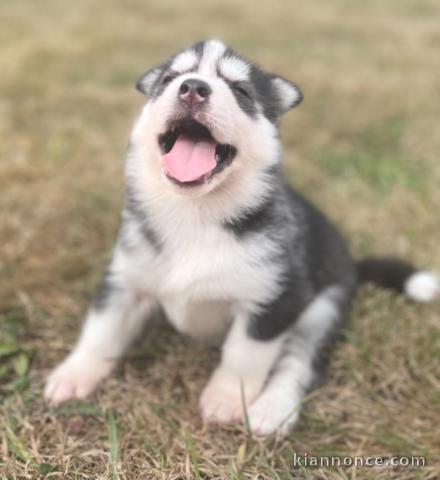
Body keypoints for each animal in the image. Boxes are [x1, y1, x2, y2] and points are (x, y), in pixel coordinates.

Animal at [43, 38, 436, 436]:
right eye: (170, 78)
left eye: (241, 90)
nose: (193, 88)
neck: (195, 215)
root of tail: (353, 264)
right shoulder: (125, 280)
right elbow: (102, 329)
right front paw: (75, 373)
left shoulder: (275, 298)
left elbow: (243, 355)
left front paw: (227, 398)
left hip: (322, 309)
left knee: (299, 363)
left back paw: (272, 410)